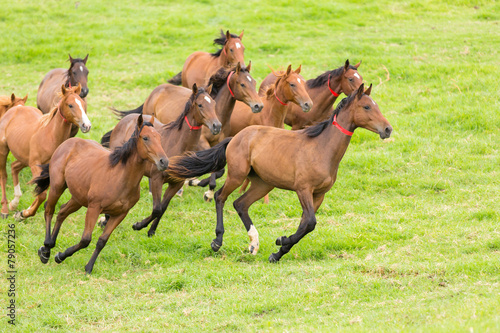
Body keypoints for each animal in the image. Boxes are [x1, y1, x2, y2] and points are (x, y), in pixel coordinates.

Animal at [0, 83, 92, 218]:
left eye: (82, 104)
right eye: (70, 105)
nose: (87, 125)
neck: (49, 136)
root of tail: (15, 108)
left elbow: (41, 193)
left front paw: (23, 213)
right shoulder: (35, 165)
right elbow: (42, 195)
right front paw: (24, 214)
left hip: (24, 157)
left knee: (14, 167)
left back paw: (14, 203)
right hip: (4, 150)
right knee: (4, 176)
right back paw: (5, 209)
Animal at [34, 115, 170, 274]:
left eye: (159, 137)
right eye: (146, 138)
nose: (164, 161)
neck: (120, 177)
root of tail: (67, 143)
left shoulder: (120, 214)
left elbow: (102, 241)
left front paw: (88, 267)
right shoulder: (94, 208)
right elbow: (85, 239)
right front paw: (61, 256)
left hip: (78, 198)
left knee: (62, 212)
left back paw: (49, 246)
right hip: (57, 187)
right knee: (49, 210)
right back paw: (46, 250)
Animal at [100, 83, 222, 236]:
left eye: (214, 103)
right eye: (200, 105)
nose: (217, 126)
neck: (177, 144)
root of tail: (124, 121)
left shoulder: (176, 183)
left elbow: (163, 208)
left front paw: (151, 230)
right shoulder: (157, 179)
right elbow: (157, 208)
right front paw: (138, 225)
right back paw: (105, 220)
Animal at [166, 83, 392, 262]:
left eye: (376, 105)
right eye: (366, 106)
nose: (388, 129)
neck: (321, 147)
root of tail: (236, 137)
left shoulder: (319, 194)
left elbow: (305, 224)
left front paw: (278, 250)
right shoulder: (303, 189)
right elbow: (310, 222)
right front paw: (281, 242)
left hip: (263, 183)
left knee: (240, 204)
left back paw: (253, 243)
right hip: (238, 175)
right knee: (221, 197)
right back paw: (217, 241)